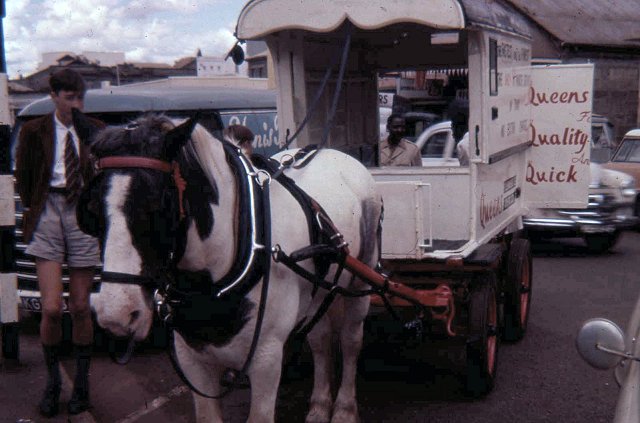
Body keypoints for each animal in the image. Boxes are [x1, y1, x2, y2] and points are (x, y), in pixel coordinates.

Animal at [77, 112, 382, 423]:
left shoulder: (266, 359)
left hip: (362, 278)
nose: (115, 312)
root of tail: (334, 151)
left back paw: (344, 408)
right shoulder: (192, 360)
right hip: (318, 291)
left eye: (159, 205)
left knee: (350, 340)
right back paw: (320, 406)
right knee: (320, 340)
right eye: (90, 209)